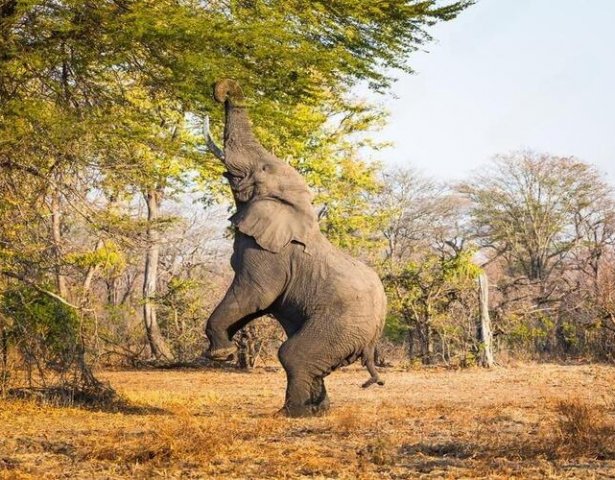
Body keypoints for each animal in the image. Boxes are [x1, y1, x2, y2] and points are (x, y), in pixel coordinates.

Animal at [205, 79, 384, 416]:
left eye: (262, 168)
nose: (220, 90)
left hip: (343, 322)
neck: (294, 204)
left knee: (292, 354)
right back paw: (318, 410)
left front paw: (219, 354)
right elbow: (253, 306)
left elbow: (254, 296)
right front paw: (224, 349)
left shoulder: (269, 255)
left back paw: (293, 413)